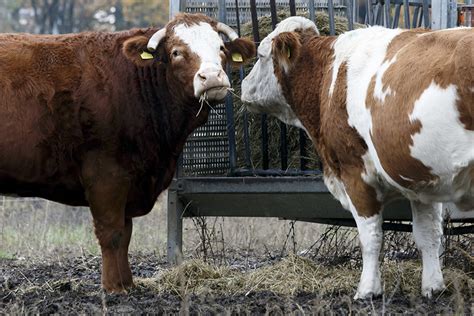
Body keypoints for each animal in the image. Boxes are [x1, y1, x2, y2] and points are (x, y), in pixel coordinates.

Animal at [0, 13, 256, 292]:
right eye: (176, 52)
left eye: (220, 48)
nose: (212, 77)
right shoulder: (106, 174)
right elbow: (112, 233)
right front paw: (113, 286)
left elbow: (126, 233)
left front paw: (128, 283)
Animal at [243, 16, 472, 298]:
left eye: (261, 55)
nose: (243, 86)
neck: (331, 76)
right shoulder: (420, 178)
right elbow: (428, 234)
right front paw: (433, 286)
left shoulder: (355, 171)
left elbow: (370, 237)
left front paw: (367, 290)